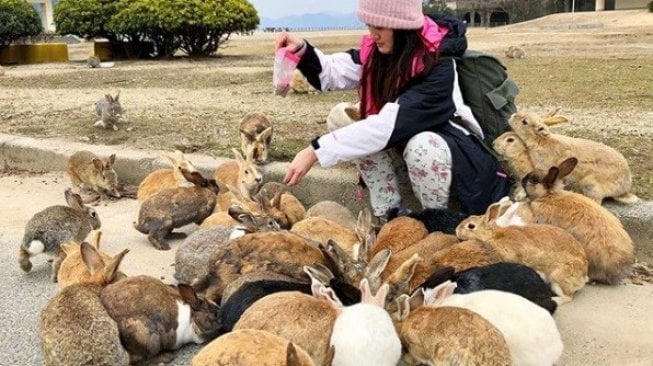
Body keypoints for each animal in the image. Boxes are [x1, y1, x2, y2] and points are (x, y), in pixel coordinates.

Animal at [456, 200, 588, 304]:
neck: (493, 236)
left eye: (471, 226)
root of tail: (583, 276)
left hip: (558, 278)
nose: (456, 231)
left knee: (568, 297)